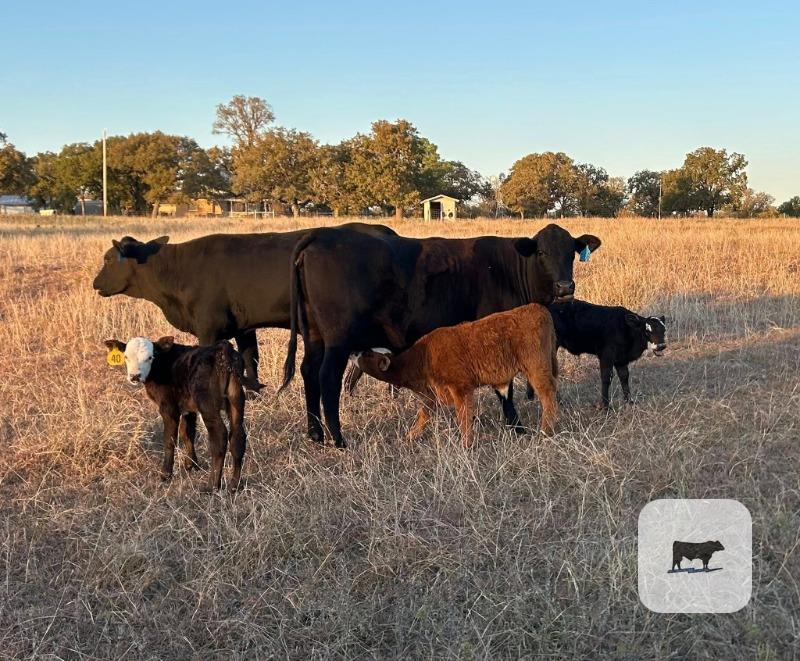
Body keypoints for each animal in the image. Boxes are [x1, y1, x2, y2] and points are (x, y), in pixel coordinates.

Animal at [105, 336, 262, 491]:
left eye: (150, 357)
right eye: (126, 356)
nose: (135, 376)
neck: (162, 364)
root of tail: (222, 348)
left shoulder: (168, 407)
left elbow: (170, 439)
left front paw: (166, 474)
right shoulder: (188, 408)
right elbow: (187, 433)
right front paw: (191, 465)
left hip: (207, 404)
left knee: (219, 437)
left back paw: (212, 486)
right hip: (236, 399)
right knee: (237, 436)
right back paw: (235, 485)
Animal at [356, 303, 559, 447]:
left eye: (369, 355)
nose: (357, 353)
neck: (423, 356)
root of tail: (537, 308)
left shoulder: (460, 389)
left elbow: (463, 416)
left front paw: (466, 444)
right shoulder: (432, 396)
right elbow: (423, 416)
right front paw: (409, 437)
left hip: (536, 369)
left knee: (548, 394)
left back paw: (546, 432)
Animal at [525, 300, 667, 407]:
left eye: (664, 330)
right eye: (647, 331)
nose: (661, 346)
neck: (626, 328)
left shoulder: (621, 359)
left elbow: (624, 376)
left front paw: (629, 401)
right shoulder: (606, 355)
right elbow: (606, 377)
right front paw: (605, 406)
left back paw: (530, 397)